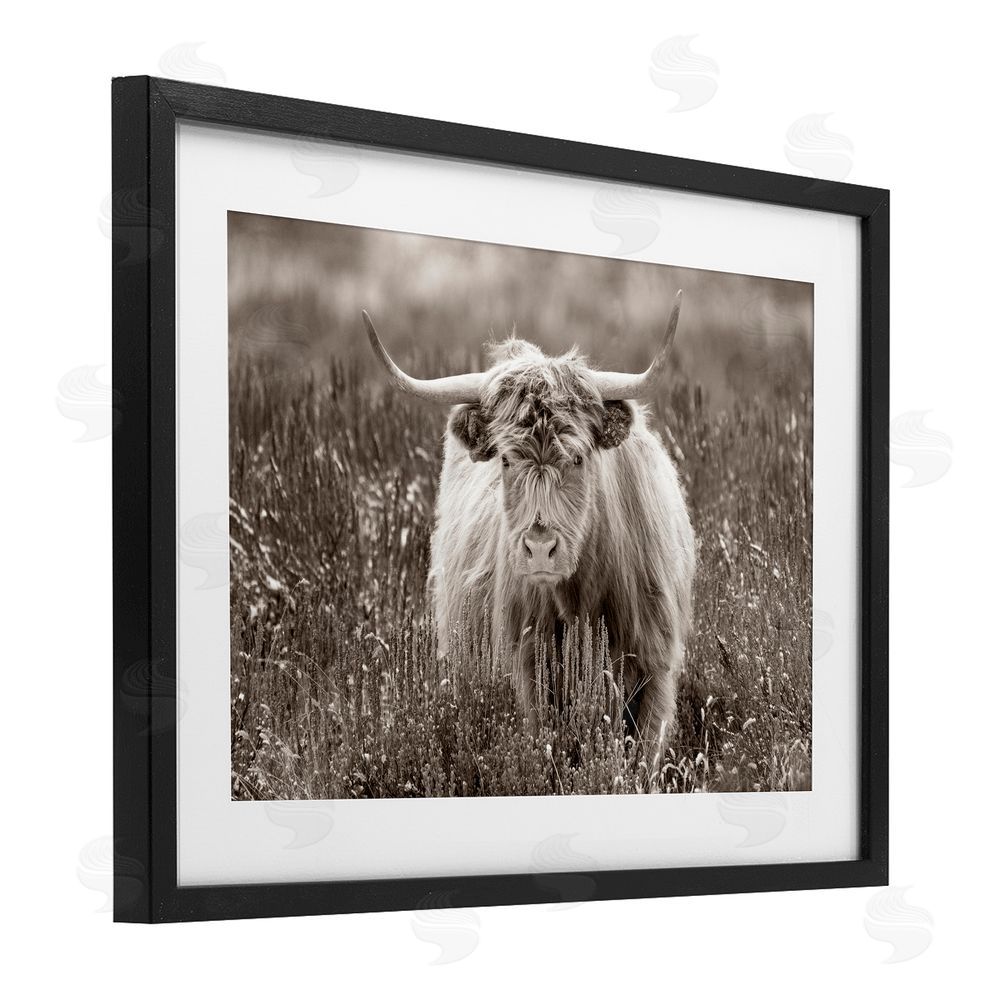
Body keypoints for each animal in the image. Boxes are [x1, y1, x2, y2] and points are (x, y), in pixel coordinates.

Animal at [362, 291, 695, 744]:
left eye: (578, 457)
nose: (539, 549)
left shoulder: (655, 669)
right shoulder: (528, 671)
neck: (581, 603)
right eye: (506, 459)